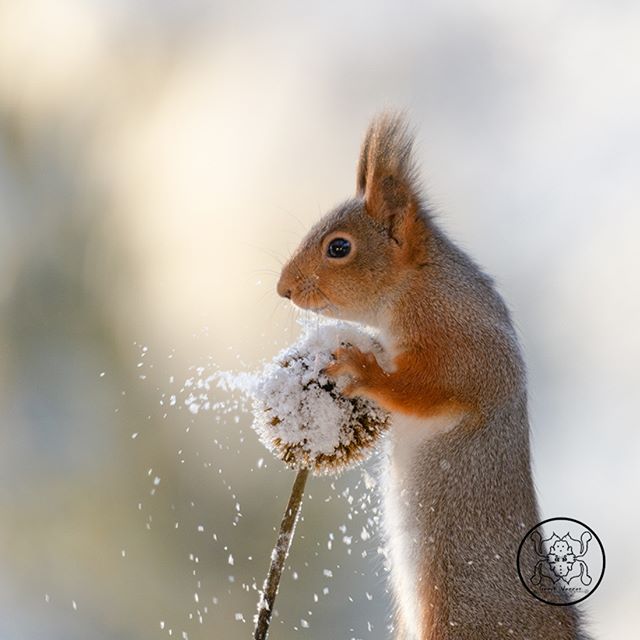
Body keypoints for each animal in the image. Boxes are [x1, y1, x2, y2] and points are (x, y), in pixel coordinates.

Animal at [276, 115, 592, 640]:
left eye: (339, 247)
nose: (281, 289)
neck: (418, 285)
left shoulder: (463, 356)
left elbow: (425, 391)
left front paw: (361, 369)